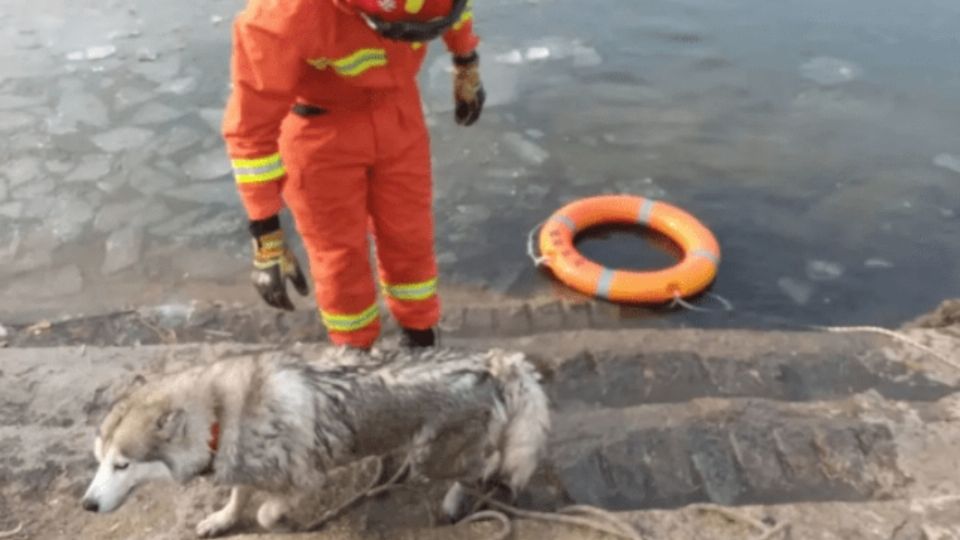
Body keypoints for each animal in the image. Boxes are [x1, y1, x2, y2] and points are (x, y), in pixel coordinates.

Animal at [80, 346, 548, 536]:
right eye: (99, 460)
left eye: (122, 465)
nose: (86, 505)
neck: (220, 416)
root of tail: (494, 360)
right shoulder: (240, 467)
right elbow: (237, 496)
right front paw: (221, 520)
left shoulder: (308, 481)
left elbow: (266, 512)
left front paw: (285, 525)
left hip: (428, 459)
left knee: (485, 467)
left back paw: (459, 500)